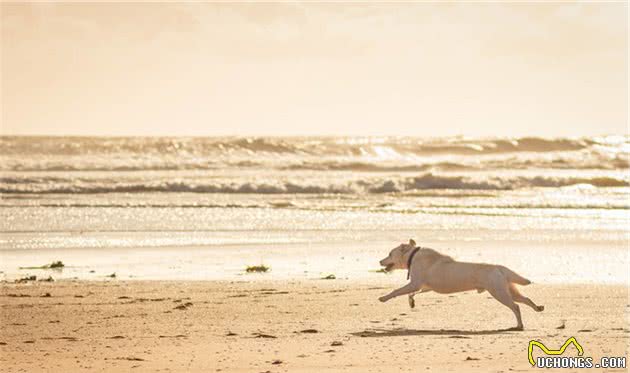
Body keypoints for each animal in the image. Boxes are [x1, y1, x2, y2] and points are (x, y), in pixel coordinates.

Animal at [378, 238, 544, 328]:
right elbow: (412, 293)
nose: (380, 261)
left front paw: (383, 298)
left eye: (389, 254)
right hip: (508, 290)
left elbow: (397, 291)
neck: (412, 256)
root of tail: (499, 267)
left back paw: (519, 325)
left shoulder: (415, 283)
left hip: (499, 292)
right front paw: (411, 302)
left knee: (516, 307)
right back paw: (538, 308)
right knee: (525, 299)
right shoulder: (424, 287)